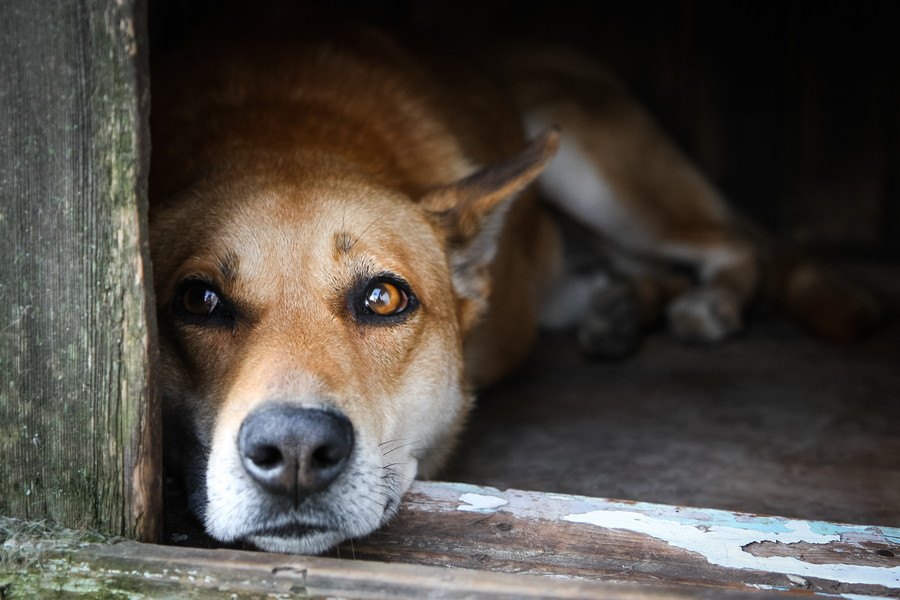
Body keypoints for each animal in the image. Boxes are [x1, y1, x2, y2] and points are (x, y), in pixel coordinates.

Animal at [149, 16, 880, 556]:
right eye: (200, 300)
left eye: (384, 298)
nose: (296, 451)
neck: (279, 137)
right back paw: (618, 311)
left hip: (596, 166)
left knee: (734, 245)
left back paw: (711, 302)